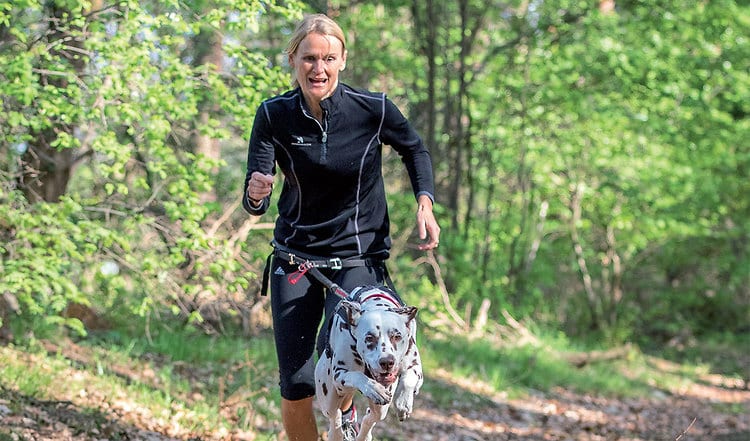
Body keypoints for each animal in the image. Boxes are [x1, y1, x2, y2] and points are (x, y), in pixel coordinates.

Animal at [316, 286, 424, 440]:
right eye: (369, 338)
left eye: (397, 336)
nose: (387, 362)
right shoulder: (339, 374)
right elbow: (357, 376)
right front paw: (373, 388)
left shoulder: (414, 366)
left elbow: (409, 378)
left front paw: (403, 402)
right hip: (328, 396)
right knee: (335, 415)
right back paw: (335, 434)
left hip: (380, 408)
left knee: (371, 417)